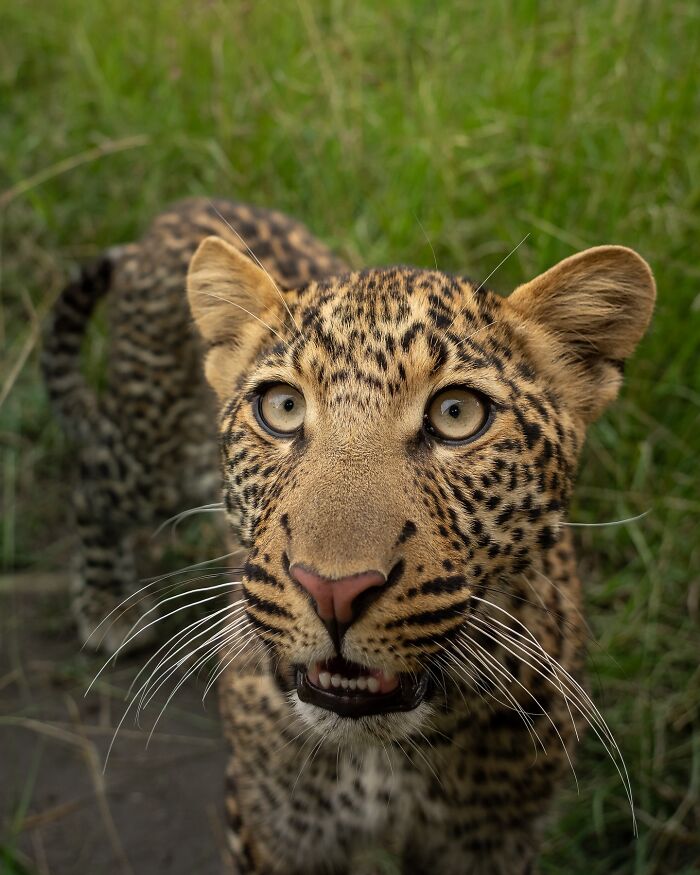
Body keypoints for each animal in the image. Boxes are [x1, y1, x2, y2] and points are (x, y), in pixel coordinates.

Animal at [44, 196, 655, 874]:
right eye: (282, 407)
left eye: (457, 414)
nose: (332, 591)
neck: (388, 756)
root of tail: (185, 205)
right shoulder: (269, 829)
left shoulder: (493, 842)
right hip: (147, 453)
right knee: (91, 480)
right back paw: (106, 607)